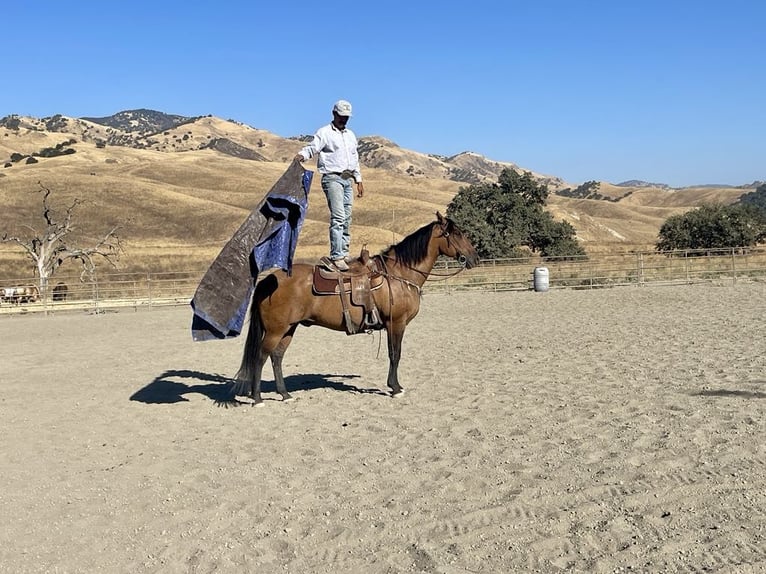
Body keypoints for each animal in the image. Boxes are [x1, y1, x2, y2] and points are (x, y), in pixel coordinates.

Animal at [237, 212, 480, 404]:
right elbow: (395, 354)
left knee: (277, 357)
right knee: (261, 357)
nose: (475, 258)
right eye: (457, 234)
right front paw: (395, 388)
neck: (399, 275)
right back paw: (257, 398)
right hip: (275, 330)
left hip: (289, 328)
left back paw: (285, 394)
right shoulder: (396, 323)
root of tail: (269, 280)